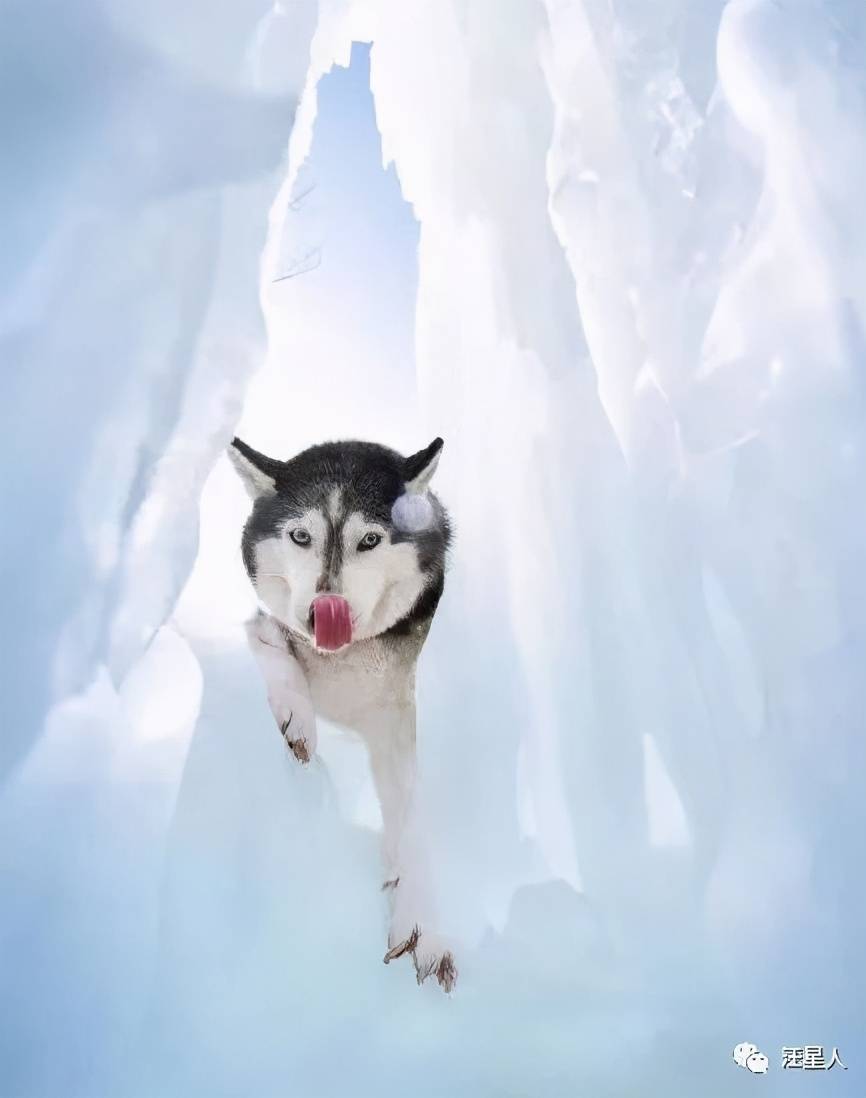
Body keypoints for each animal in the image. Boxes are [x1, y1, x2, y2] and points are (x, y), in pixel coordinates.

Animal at [229, 432, 458, 992]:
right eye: (299, 536)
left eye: (370, 541)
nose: (321, 613)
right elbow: (263, 634)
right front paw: (296, 718)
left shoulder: (395, 718)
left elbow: (410, 817)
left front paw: (422, 923)